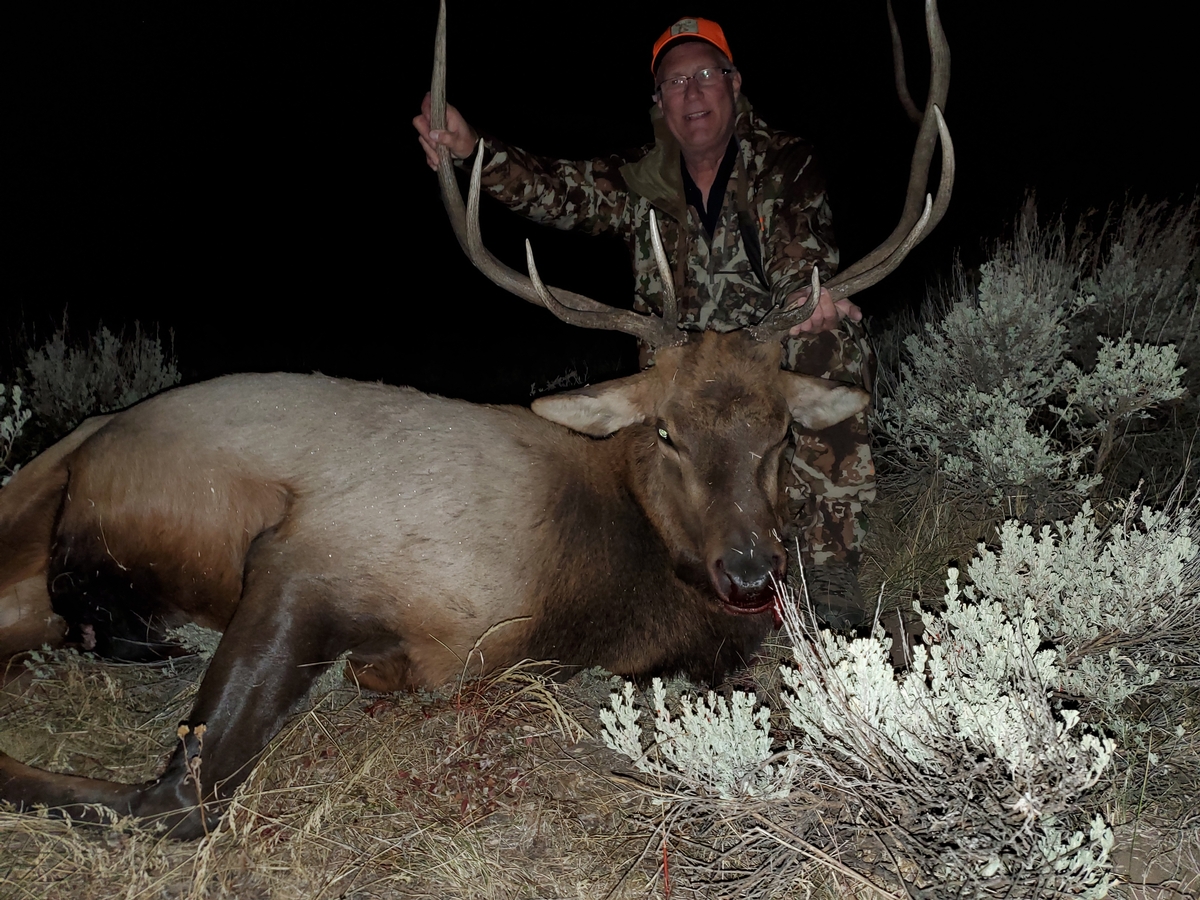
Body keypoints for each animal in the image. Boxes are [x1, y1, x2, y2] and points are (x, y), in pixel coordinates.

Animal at [0, 0, 951, 838]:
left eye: (781, 436)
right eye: (666, 432)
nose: (752, 573)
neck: (583, 590)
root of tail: (70, 446)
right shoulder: (313, 556)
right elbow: (181, 790)